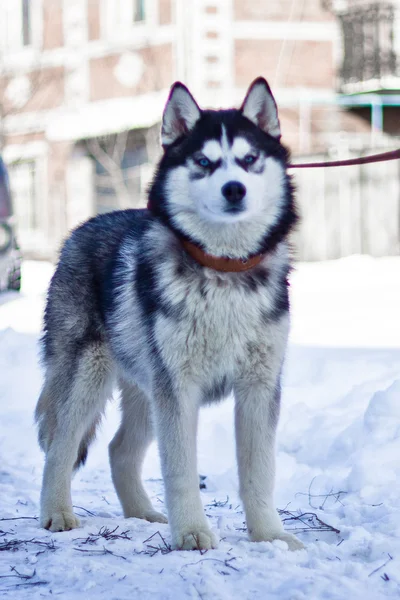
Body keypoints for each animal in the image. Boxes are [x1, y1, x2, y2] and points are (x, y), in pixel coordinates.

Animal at [36, 77, 302, 552]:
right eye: (204, 162)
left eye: (249, 160)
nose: (234, 189)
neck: (223, 269)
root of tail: (80, 230)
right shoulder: (178, 388)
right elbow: (179, 470)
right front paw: (193, 533)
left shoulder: (259, 385)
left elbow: (259, 471)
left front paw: (270, 536)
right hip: (90, 375)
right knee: (59, 445)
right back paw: (57, 513)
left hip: (145, 388)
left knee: (119, 449)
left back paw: (141, 513)